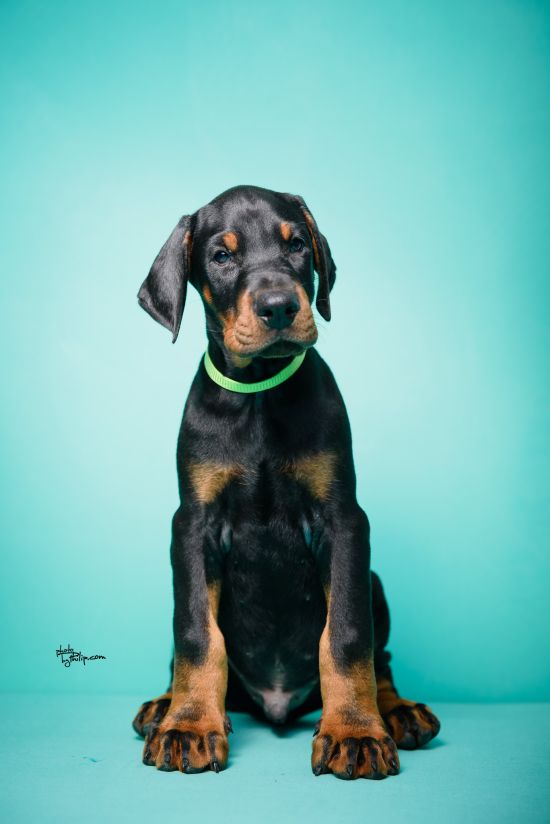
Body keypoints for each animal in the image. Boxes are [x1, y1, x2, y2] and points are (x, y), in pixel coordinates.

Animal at [132, 185, 441, 779]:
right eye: (221, 257)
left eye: (297, 245)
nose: (278, 307)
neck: (260, 393)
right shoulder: (192, 526)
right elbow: (196, 634)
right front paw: (189, 724)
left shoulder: (343, 521)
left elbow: (347, 635)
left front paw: (355, 732)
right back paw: (164, 704)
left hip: (376, 582)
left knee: (382, 658)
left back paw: (396, 710)